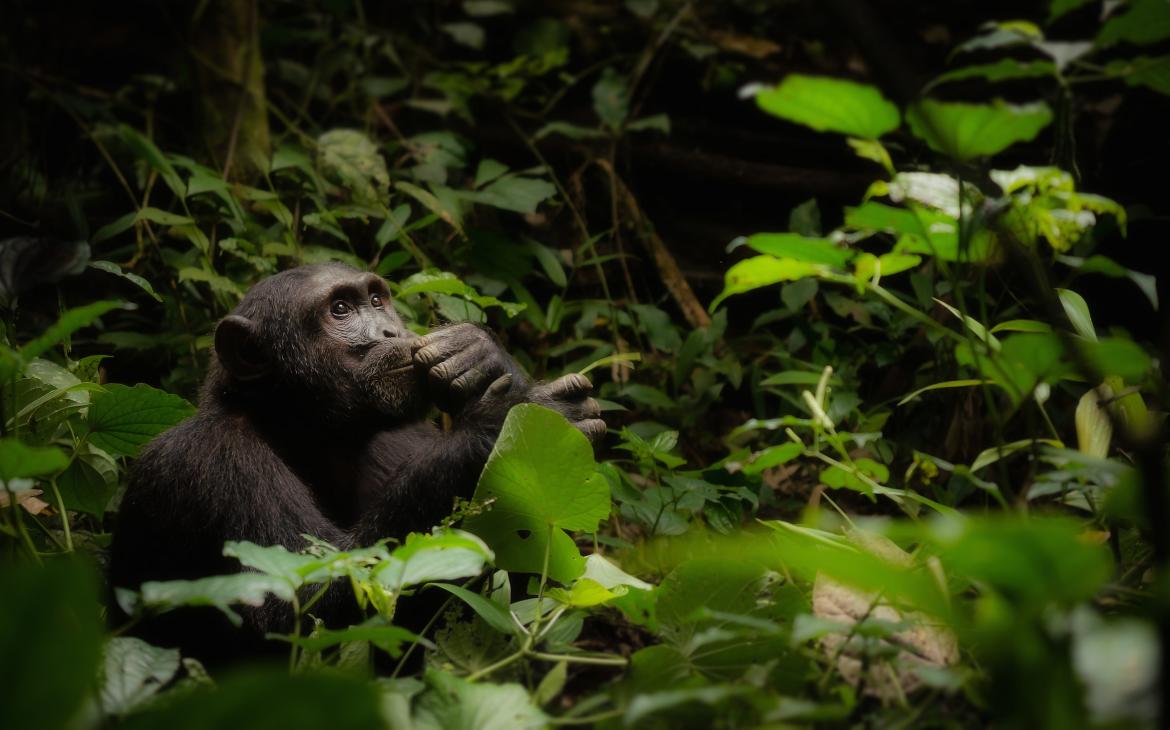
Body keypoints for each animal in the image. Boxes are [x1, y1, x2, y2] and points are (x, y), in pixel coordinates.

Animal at [108, 262, 603, 659]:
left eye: (377, 301)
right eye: (341, 310)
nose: (390, 332)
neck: (311, 431)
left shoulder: (407, 437)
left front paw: (478, 353)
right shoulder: (212, 460)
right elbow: (301, 600)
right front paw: (514, 419)